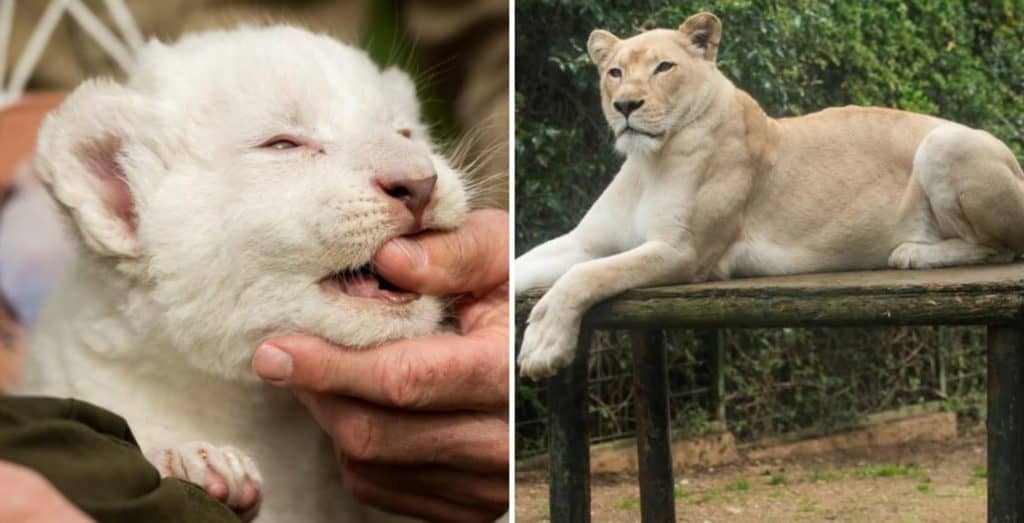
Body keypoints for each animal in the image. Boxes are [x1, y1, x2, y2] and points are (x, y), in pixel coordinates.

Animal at [516, 12, 1024, 379]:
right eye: (615, 73)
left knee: (1000, 248)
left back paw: (913, 253)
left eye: (664, 67)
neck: (649, 162)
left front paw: (543, 346)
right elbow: (534, 263)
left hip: (946, 144)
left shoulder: (686, 252)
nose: (625, 106)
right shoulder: (587, 240)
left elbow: (586, 275)